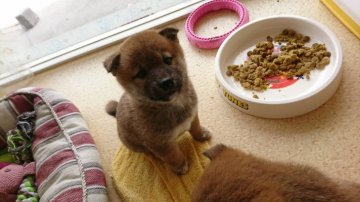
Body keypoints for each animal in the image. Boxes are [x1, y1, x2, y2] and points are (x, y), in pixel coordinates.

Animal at [104, 27, 210, 174]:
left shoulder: (193, 116)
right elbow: (173, 155)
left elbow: (195, 128)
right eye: (141, 73)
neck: (174, 105)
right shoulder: (161, 144)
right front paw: (180, 166)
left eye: (167, 60)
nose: (166, 82)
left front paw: (201, 135)